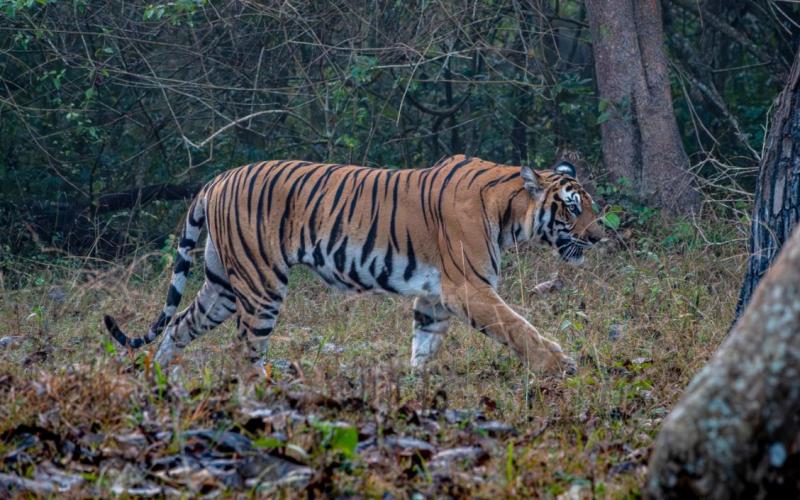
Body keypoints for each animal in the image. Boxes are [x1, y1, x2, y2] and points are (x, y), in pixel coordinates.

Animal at [106, 155, 608, 376]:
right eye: (572, 207)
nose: (601, 236)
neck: (509, 214)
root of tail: (216, 179)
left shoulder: (434, 296)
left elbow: (423, 345)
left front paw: (416, 390)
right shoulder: (468, 288)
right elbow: (518, 327)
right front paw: (559, 363)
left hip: (222, 285)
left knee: (179, 324)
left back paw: (159, 379)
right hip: (260, 285)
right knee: (245, 350)